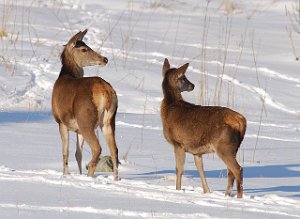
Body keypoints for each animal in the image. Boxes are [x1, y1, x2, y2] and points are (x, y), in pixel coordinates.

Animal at [51, 29, 118, 180]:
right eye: (84, 49)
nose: (105, 59)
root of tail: (105, 90)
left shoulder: (61, 121)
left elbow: (65, 152)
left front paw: (66, 175)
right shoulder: (78, 130)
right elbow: (78, 154)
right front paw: (78, 174)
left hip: (85, 117)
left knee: (97, 148)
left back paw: (89, 176)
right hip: (108, 120)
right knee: (114, 150)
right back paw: (116, 179)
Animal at [159, 58, 246, 198]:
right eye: (184, 78)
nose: (192, 85)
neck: (169, 107)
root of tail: (241, 121)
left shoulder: (178, 143)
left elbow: (179, 169)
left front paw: (178, 190)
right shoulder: (196, 151)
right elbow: (200, 169)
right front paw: (207, 191)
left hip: (224, 145)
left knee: (237, 169)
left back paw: (238, 198)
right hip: (233, 148)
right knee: (230, 172)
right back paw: (227, 195)